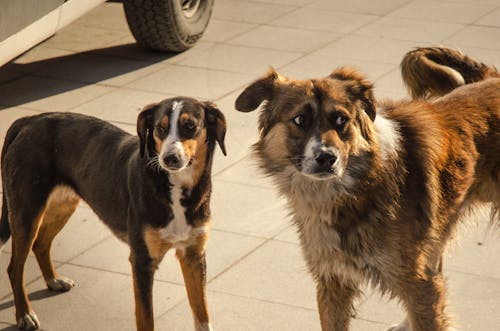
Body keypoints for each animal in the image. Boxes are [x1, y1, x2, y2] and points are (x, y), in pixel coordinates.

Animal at [0, 97, 227, 330]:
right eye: (160, 129)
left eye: (190, 126)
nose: (169, 158)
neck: (174, 188)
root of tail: (29, 120)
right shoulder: (142, 260)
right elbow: (146, 318)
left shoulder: (194, 255)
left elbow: (202, 314)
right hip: (26, 213)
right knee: (14, 268)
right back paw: (24, 314)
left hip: (62, 206)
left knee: (41, 244)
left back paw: (53, 280)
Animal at [235, 63, 500, 331]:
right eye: (300, 119)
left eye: (341, 119)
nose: (327, 158)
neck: (357, 186)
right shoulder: (333, 279)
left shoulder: (418, 282)